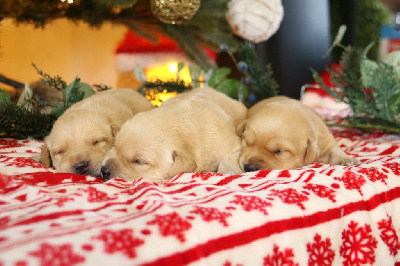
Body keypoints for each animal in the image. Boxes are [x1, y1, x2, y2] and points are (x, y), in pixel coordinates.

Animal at [101, 87, 247, 181]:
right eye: (114, 147)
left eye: (139, 161)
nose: (104, 170)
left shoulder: (234, 144)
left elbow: (228, 158)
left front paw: (229, 170)